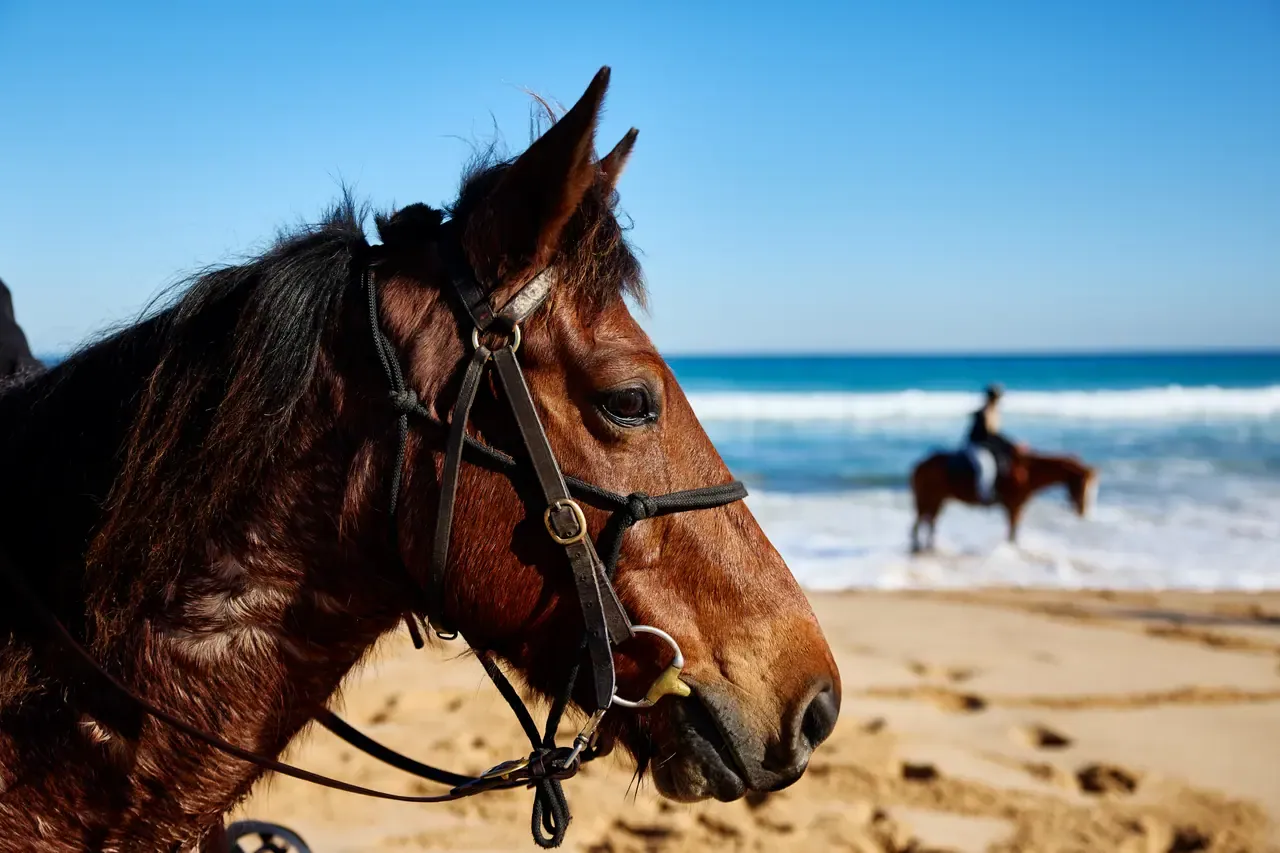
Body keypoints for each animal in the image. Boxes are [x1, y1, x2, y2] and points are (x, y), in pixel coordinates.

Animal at [909, 448, 1097, 552]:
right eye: (1082, 486)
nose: (1083, 511)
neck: (1028, 472)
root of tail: (920, 464)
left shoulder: (1016, 508)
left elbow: (1013, 532)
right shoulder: (1014, 507)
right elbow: (1012, 533)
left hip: (937, 501)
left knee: (928, 522)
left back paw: (928, 547)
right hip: (929, 500)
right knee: (921, 523)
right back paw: (919, 547)